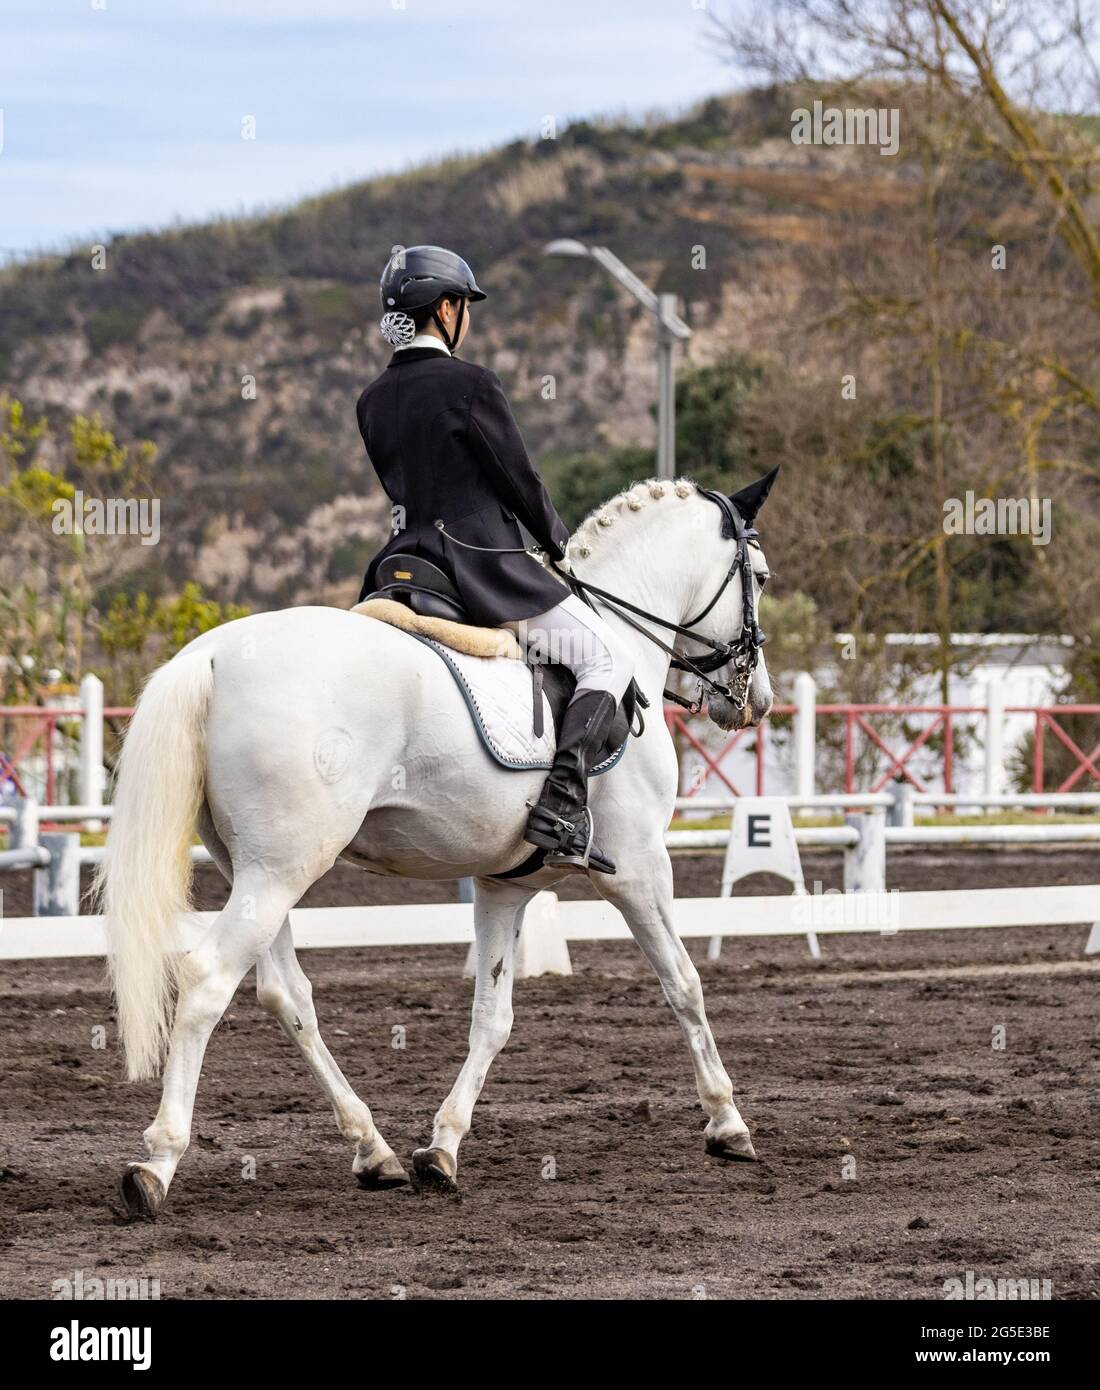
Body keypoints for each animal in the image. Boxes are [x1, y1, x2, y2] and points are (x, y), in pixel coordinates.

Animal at [100, 478, 773, 1217]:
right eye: (762, 577)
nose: (756, 702)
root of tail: (213, 655)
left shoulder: (505, 887)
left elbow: (493, 1017)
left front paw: (442, 1147)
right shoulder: (641, 869)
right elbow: (684, 984)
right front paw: (728, 1123)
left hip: (253, 869)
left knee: (287, 995)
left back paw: (375, 1150)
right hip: (280, 870)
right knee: (207, 981)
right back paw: (157, 1163)